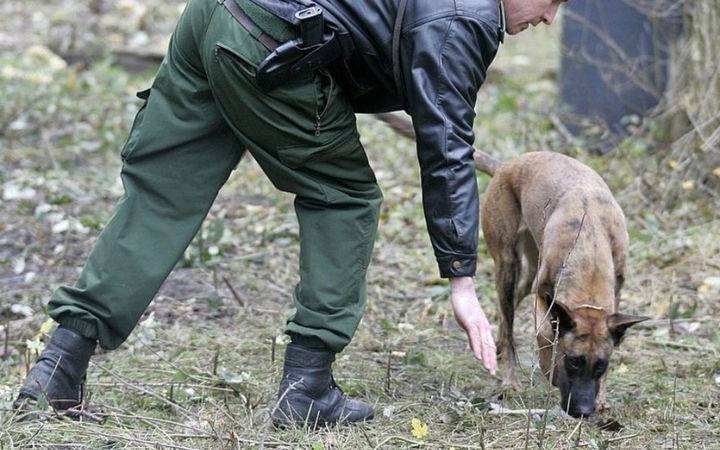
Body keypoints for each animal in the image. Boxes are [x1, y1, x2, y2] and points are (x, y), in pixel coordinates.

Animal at [476, 149, 648, 416]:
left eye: (601, 365)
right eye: (573, 362)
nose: (583, 411)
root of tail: (508, 165)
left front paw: (602, 397)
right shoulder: (543, 295)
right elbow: (546, 333)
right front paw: (550, 370)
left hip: (527, 270)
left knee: (510, 309)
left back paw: (499, 346)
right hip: (506, 263)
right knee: (509, 315)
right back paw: (510, 380)